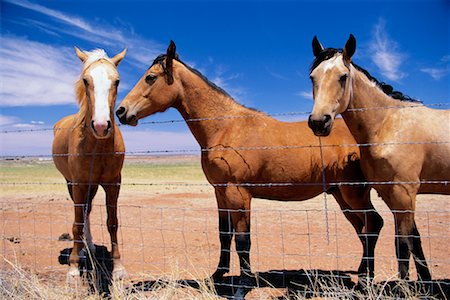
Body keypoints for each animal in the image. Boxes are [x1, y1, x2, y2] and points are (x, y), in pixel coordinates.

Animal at [52, 47, 128, 282]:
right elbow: (76, 223)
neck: (97, 146)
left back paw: (90, 246)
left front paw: (118, 266)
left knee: (88, 210)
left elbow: (113, 222)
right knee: (82, 214)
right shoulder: (78, 183)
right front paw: (74, 267)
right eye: (86, 80)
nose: (102, 126)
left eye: (117, 81)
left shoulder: (113, 184)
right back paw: (83, 250)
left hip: (93, 186)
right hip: (73, 184)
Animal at [116, 41, 384, 296]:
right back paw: (362, 272)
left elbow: (243, 241)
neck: (225, 126)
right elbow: (224, 234)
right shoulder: (221, 193)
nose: (121, 111)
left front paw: (242, 285)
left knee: (373, 224)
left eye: (150, 77)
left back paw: (366, 281)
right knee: (363, 228)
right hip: (342, 196)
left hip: (353, 193)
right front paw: (217, 275)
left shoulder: (239, 194)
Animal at [308, 35, 450, 282]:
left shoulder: (404, 194)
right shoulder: (391, 194)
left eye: (343, 77)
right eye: (312, 77)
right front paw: (425, 282)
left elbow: (402, 244)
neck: (388, 124)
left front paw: (405, 286)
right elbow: (414, 241)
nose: (319, 122)